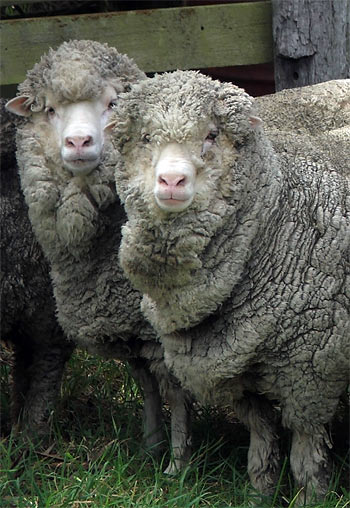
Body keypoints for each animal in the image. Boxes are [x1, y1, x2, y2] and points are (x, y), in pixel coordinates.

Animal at [6, 39, 191, 472]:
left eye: (111, 104)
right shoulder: (130, 325)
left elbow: (174, 392)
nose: (78, 143)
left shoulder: (165, 325)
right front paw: (151, 446)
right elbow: (147, 385)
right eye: (49, 110)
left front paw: (177, 466)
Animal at [109, 71, 350, 504]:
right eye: (146, 136)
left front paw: (311, 497)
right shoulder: (240, 370)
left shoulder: (312, 373)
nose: (172, 180)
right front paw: (259, 494)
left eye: (211, 134)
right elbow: (261, 442)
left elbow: (305, 454)